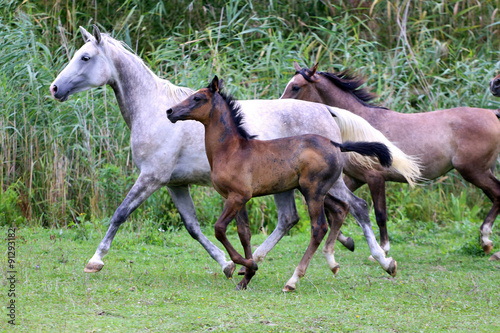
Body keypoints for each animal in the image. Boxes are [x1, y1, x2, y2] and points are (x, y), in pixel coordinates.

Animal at [170, 76, 396, 290]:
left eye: (198, 98)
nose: (170, 111)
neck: (232, 150)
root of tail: (336, 144)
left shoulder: (238, 197)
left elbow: (219, 229)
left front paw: (247, 266)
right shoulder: (237, 198)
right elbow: (244, 234)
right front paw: (246, 277)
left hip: (313, 191)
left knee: (320, 227)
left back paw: (293, 280)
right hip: (318, 189)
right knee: (343, 208)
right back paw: (338, 262)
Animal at [284, 61, 500, 260]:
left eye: (296, 87)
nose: (280, 108)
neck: (358, 125)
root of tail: (493, 113)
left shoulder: (375, 178)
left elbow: (380, 215)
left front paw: (381, 251)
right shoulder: (355, 179)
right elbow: (338, 208)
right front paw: (348, 241)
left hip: (474, 171)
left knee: (497, 195)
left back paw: (486, 242)